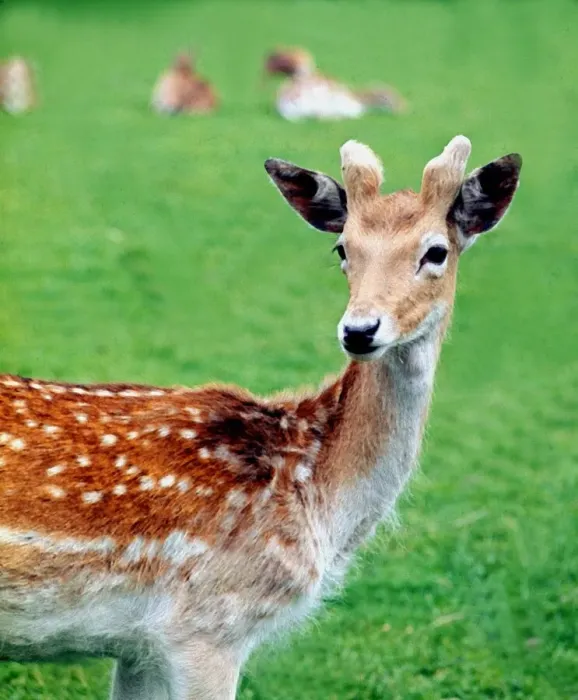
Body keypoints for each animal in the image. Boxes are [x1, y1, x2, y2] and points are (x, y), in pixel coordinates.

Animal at [0, 136, 521, 699]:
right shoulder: (208, 624)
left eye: (436, 251)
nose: (359, 330)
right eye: (343, 249)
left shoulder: (139, 646)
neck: (316, 494)